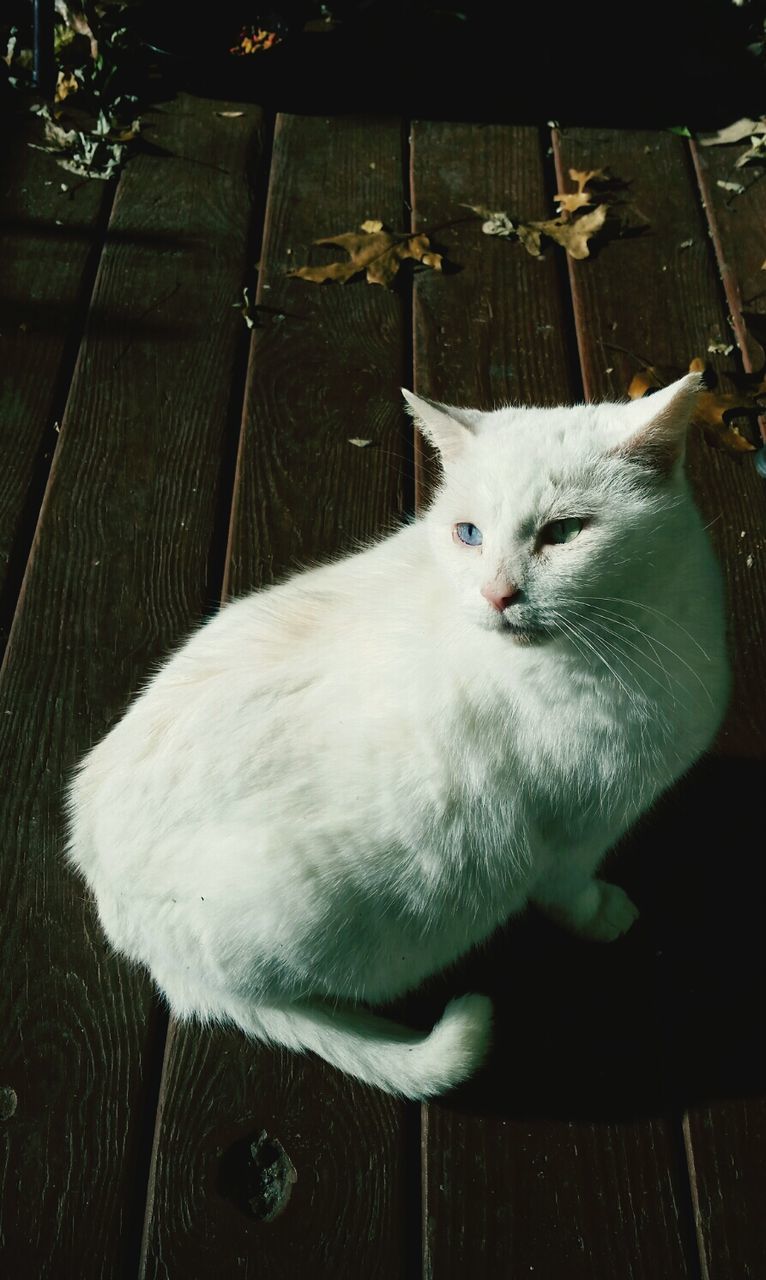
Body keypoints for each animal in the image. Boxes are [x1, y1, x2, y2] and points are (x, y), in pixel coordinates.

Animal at [64, 373, 727, 1100]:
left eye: (564, 532)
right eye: (469, 534)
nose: (497, 595)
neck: (643, 637)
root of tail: (121, 924)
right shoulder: (573, 834)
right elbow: (571, 892)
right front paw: (604, 915)